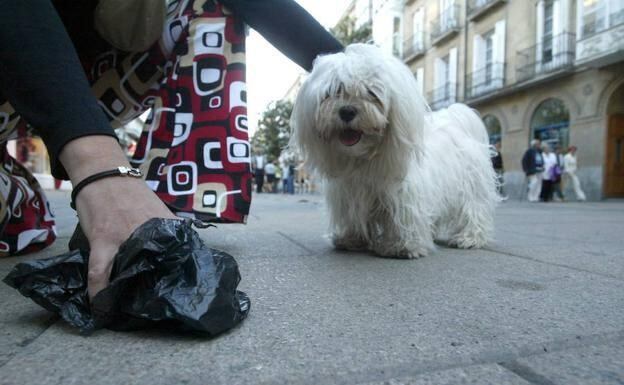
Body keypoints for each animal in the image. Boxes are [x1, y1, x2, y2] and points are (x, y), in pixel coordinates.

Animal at [290, 43, 500, 258]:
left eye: (371, 93)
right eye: (334, 91)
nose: (347, 111)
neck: (363, 158)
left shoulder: (404, 193)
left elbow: (403, 217)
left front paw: (402, 246)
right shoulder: (348, 194)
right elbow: (352, 217)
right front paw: (351, 239)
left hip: (471, 187)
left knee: (473, 210)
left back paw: (469, 238)